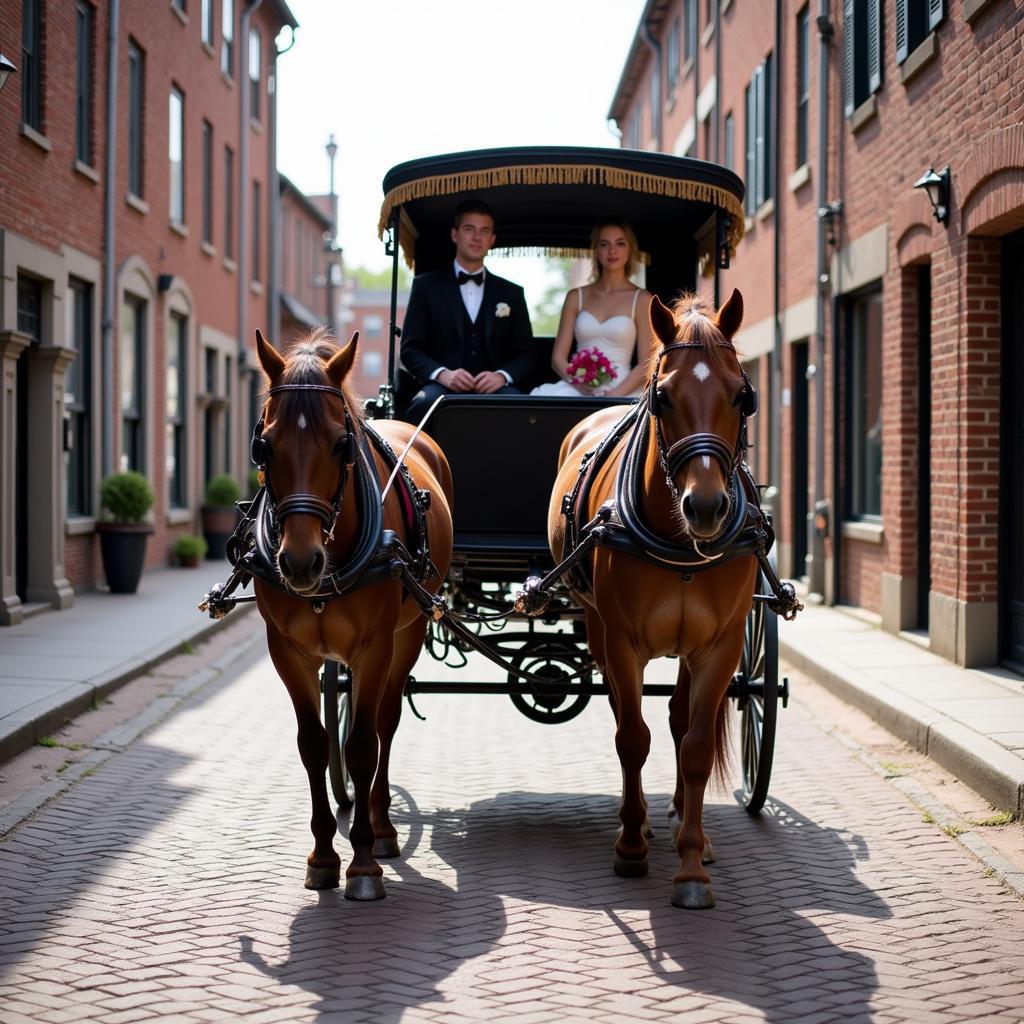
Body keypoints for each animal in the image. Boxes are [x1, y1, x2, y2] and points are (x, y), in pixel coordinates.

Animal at [251, 327, 452, 897]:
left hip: (407, 636)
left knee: (385, 723)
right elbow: (314, 746)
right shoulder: (288, 652)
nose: (300, 562)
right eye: (263, 445)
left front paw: (362, 862)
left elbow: (363, 745)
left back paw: (382, 829)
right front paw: (322, 856)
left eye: (342, 444)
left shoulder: (375, 647)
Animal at [548, 292, 757, 909]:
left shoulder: (721, 647)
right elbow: (632, 738)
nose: (706, 507)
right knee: (628, 716)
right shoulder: (622, 643)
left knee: (678, 718)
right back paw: (637, 821)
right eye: (663, 396)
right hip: (597, 627)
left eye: (742, 395)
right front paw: (631, 846)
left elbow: (693, 745)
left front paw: (691, 865)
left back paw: (688, 827)